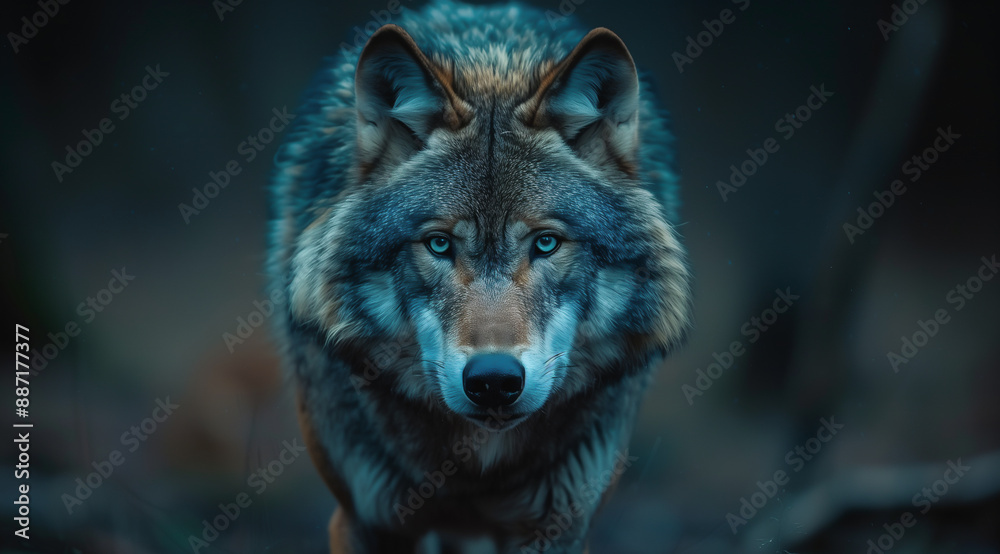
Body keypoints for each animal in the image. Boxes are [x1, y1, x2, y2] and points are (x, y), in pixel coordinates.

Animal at [267, 1, 691, 552]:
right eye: (439, 244)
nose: (493, 381)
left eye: (546, 243)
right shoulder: (365, 518)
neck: (476, 469)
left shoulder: (559, 526)